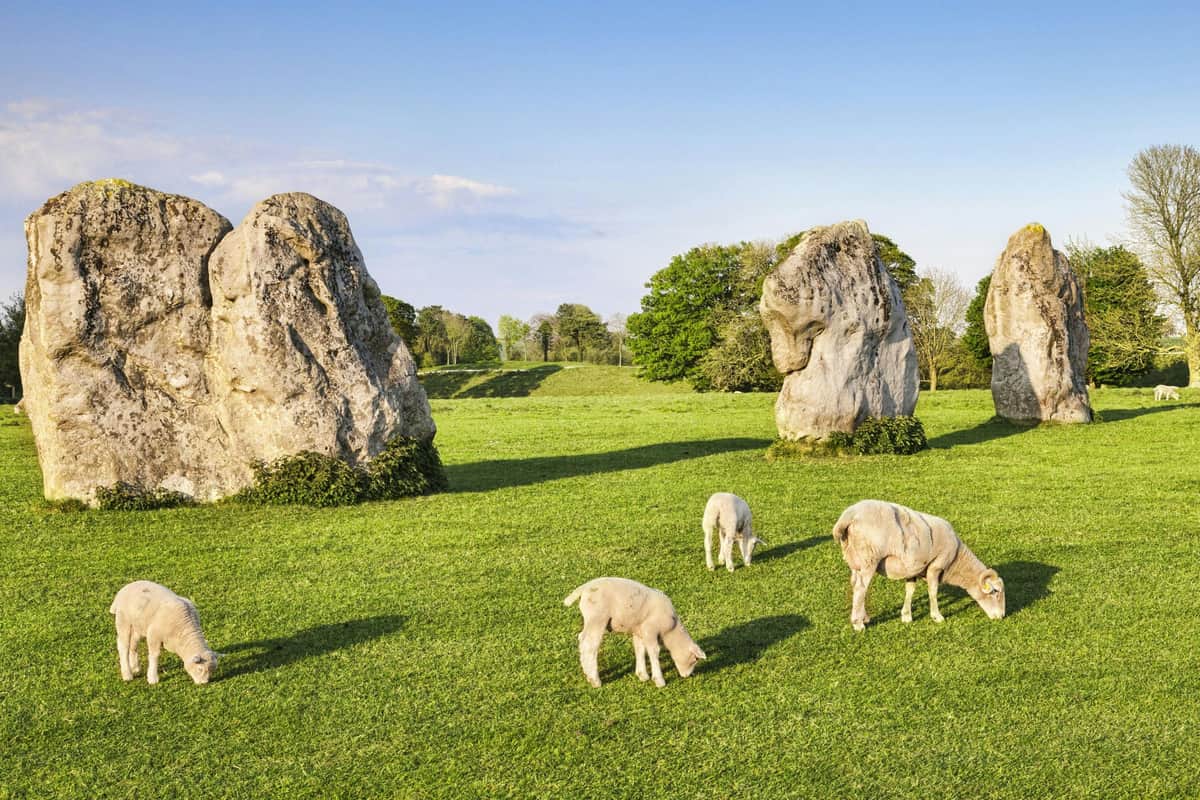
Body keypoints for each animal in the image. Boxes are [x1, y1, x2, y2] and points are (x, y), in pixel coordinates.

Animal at [563, 577, 706, 688]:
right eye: (695, 660)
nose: (687, 676)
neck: (670, 630)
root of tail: (585, 588)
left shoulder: (639, 630)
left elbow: (639, 649)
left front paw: (642, 675)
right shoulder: (650, 628)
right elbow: (654, 651)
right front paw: (659, 680)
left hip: (590, 619)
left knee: (582, 640)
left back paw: (587, 673)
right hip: (597, 618)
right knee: (590, 646)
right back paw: (595, 680)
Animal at [832, 500, 1006, 631]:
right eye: (995, 592)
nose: (1002, 616)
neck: (957, 561)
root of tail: (849, 515)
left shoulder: (913, 569)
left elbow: (910, 590)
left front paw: (906, 616)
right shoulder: (936, 565)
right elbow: (933, 592)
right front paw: (937, 616)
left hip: (855, 560)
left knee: (855, 585)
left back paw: (864, 617)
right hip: (869, 558)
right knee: (861, 589)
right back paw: (858, 624)